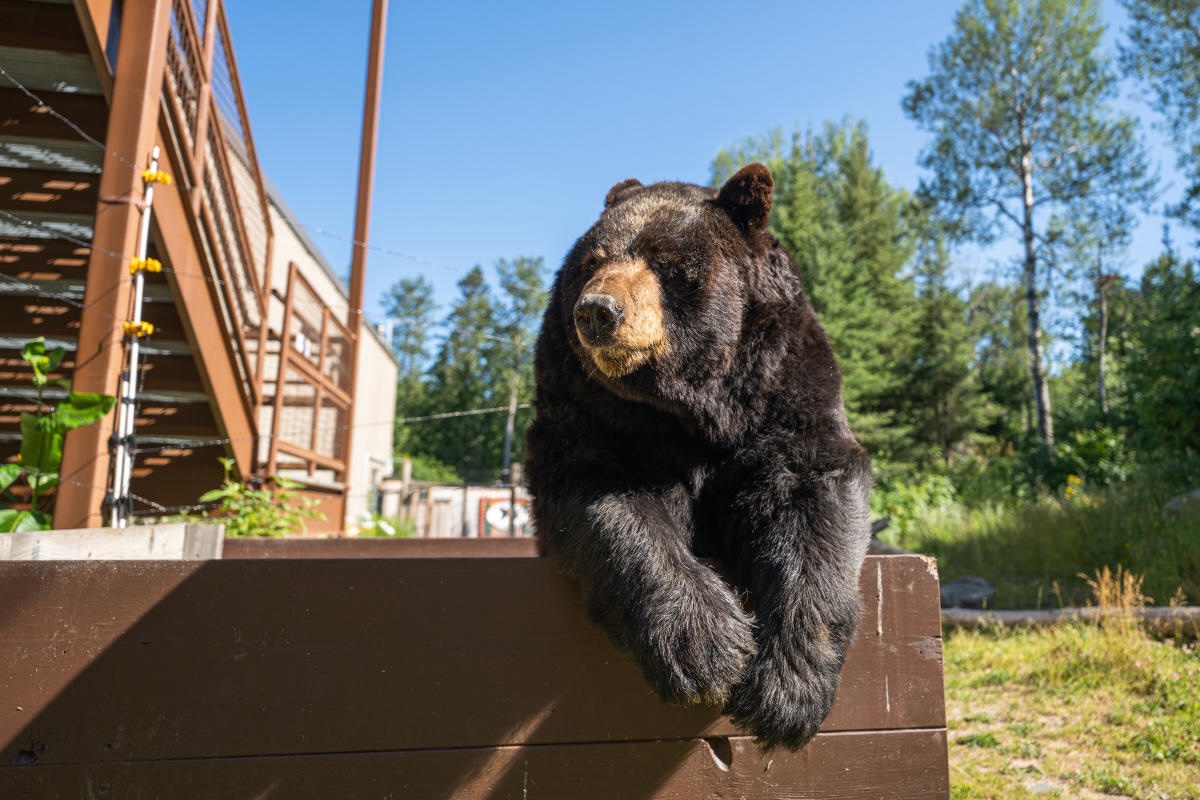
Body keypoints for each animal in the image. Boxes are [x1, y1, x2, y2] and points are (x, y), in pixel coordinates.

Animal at [524, 163, 872, 751]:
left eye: (665, 262)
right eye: (592, 261)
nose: (596, 311)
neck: (690, 405)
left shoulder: (786, 386)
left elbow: (811, 495)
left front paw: (786, 691)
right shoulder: (587, 409)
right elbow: (602, 493)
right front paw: (705, 643)